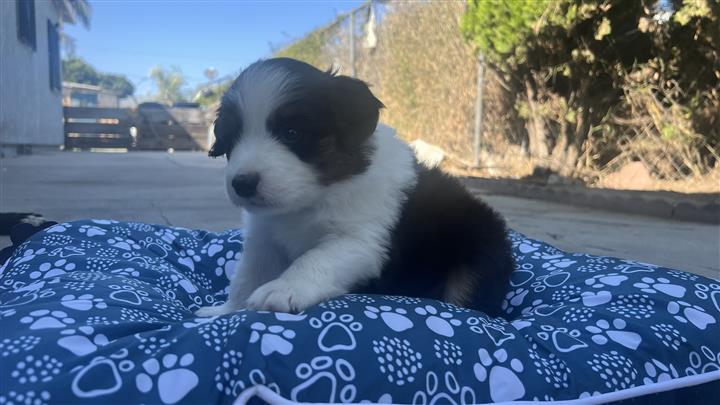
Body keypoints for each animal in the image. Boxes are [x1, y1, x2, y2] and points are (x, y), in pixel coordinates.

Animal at [194, 57, 516, 316]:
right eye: (232, 139)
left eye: (292, 133)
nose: (243, 184)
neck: (311, 200)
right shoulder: (264, 238)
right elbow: (247, 274)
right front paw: (224, 311)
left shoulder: (360, 239)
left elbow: (315, 258)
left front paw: (284, 289)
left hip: (478, 254)